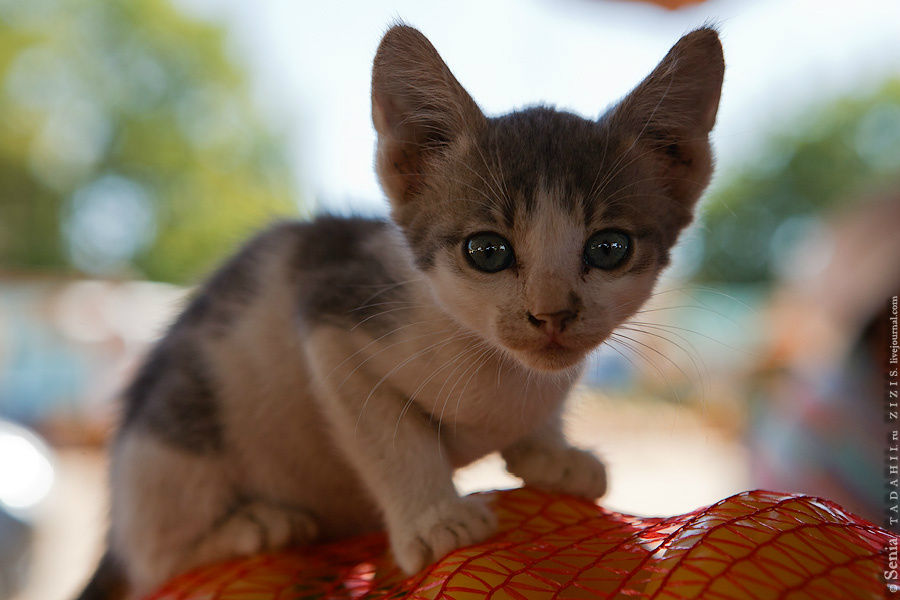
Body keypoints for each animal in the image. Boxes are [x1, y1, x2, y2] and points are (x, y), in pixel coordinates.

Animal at [75, 23, 724, 600]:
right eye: (487, 251)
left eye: (609, 248)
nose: (552, 314)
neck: (495, 367)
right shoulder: (332, 312)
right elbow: (390, 434)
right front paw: (436, 519)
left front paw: (551, 452)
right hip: (173, 446)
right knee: (155, 563)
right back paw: (254, 526)